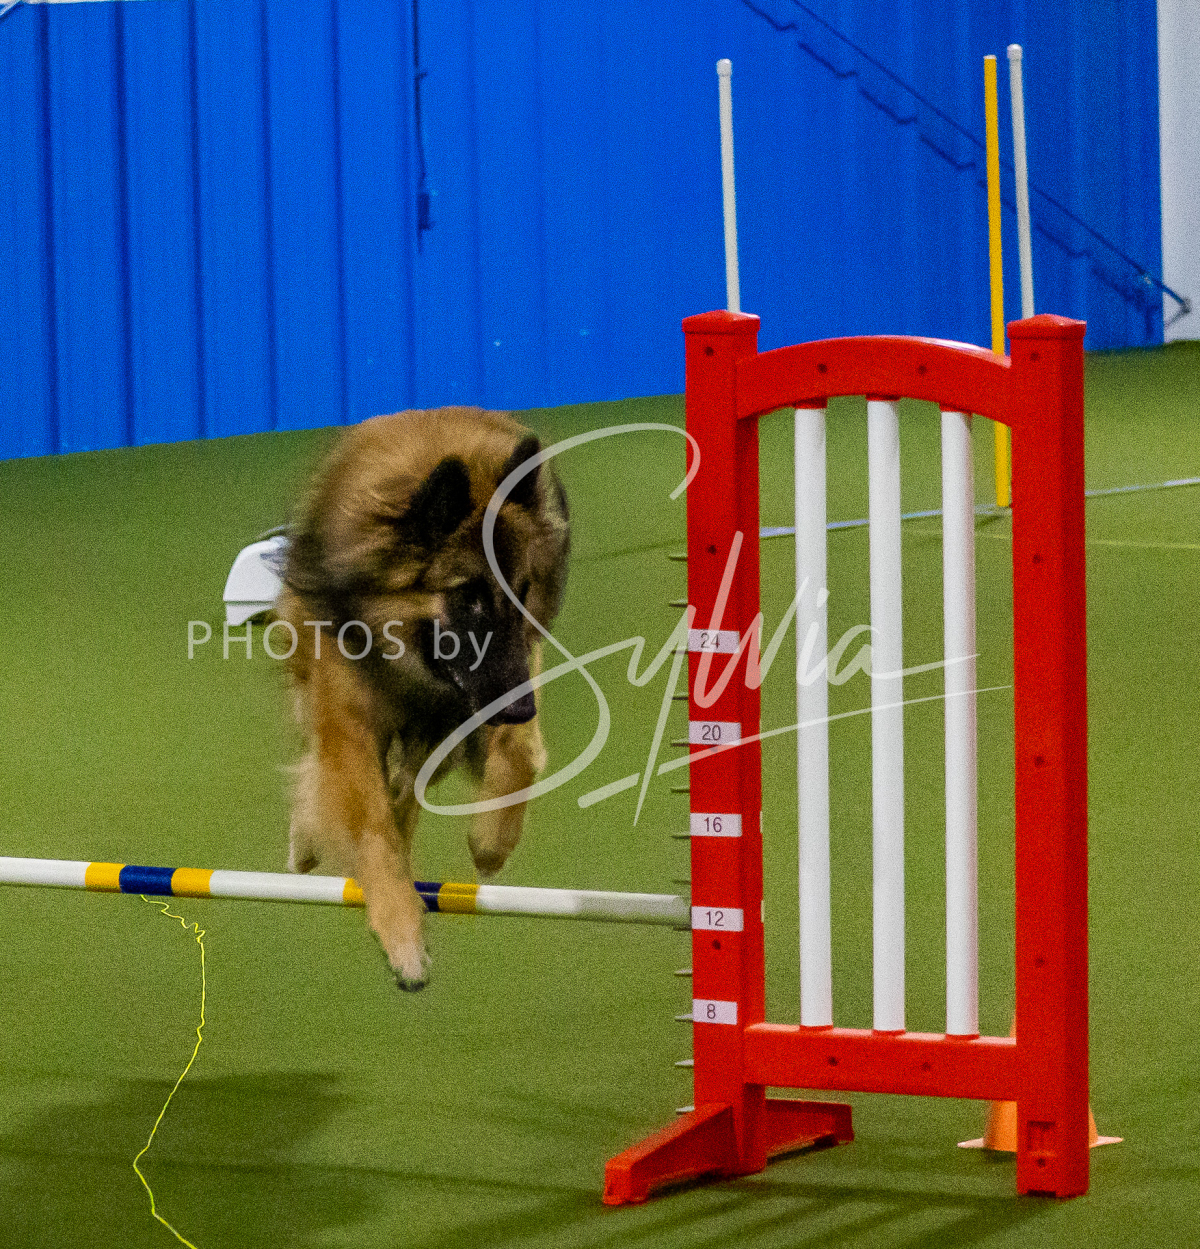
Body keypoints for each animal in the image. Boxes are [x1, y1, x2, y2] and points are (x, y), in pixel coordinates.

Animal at [275, 407, 569, 990]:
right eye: (469, 597)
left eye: (522, 589)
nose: (521, 709)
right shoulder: (349, 717)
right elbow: (371, 826)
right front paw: (402, 934)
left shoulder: (493, 687)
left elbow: (521, 756)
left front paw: (491, 842)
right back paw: (308, 840)